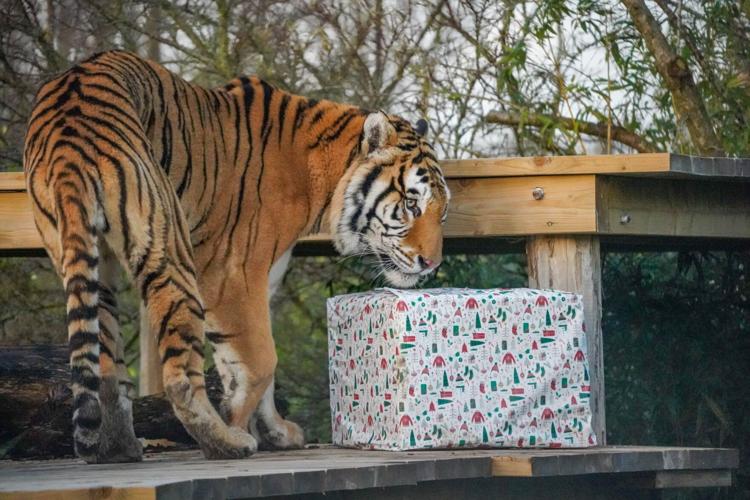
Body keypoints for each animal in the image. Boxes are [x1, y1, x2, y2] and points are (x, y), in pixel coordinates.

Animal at [23, 50, 450, 463]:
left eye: (442, 213)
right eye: (411, 204)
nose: (431, 264)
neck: (322, 178)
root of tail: (68, 132)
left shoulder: (263, 278)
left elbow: (243, 367)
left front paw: (275, 431)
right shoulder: (231, 274)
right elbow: (262, 362)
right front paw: (239, 424)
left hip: (89, 262)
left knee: (107, 366)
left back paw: (120, 449)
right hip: (168, 244)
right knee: (179, 374)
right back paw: (223, 444)